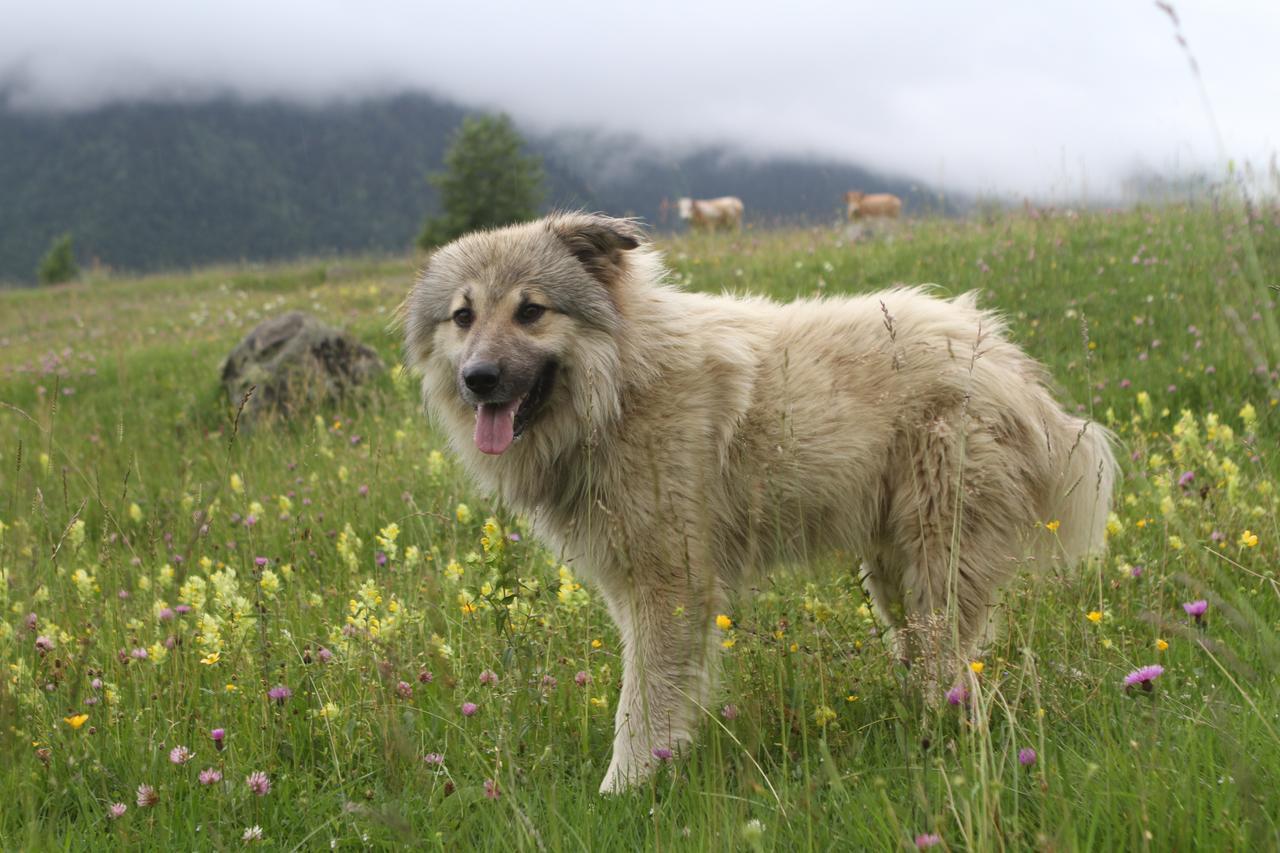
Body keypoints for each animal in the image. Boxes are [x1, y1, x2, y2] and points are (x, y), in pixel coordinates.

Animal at [404, 211, 1116, 788]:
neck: (621, 384)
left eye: (531, 311)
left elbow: (644, 702)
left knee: (948, 661)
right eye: (464, 316)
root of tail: (1008, 365)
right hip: (894, 568)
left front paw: (625, 789)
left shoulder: (671, 583)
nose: (478, 379)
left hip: (936, 558)